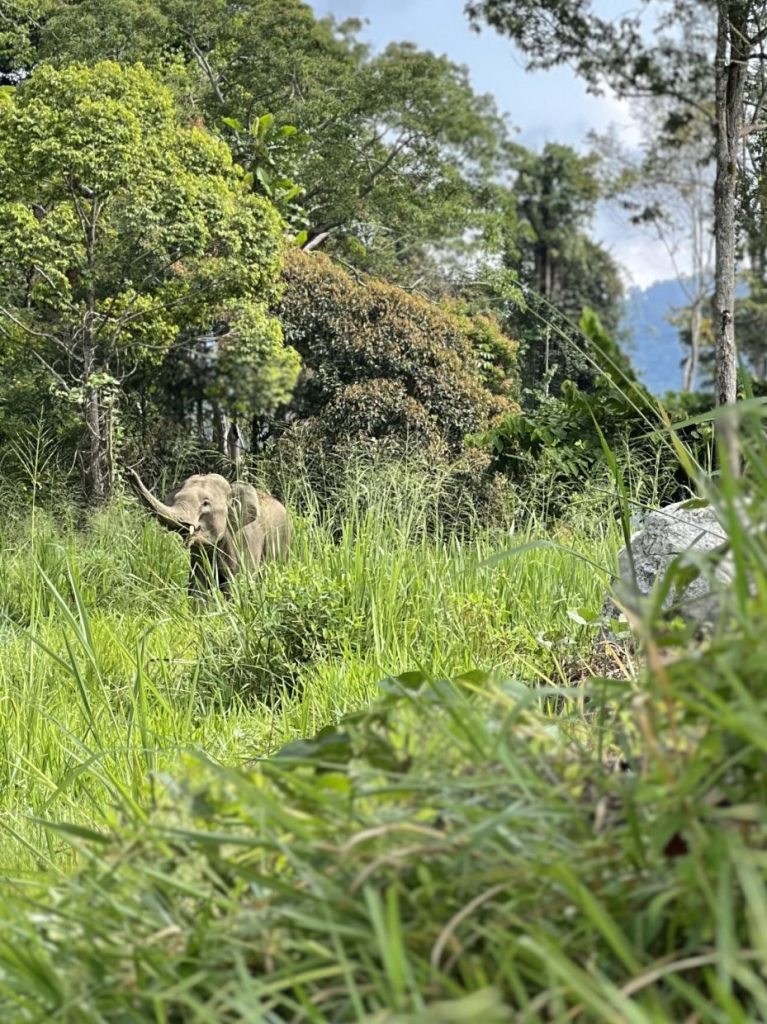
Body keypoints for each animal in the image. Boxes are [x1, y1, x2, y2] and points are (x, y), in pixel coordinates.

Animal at [126, 468, 288, 598]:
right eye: (175, 499)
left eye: (205, 503)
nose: (129, 471)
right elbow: (198, 587)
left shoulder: (245, 542)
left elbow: (236, 584)